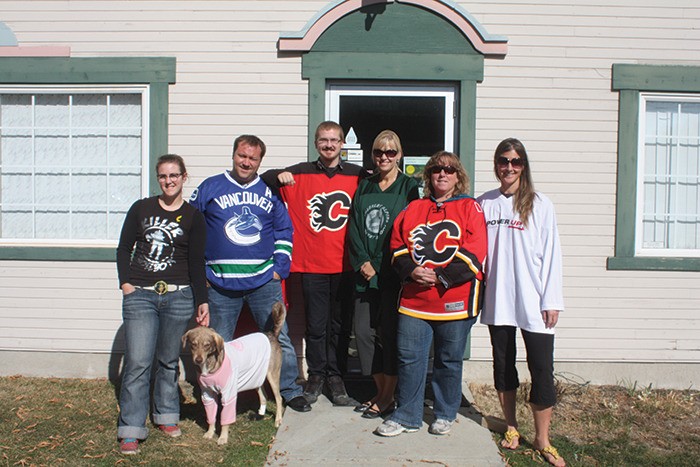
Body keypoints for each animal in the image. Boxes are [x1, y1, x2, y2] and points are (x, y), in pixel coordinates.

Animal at [183, 302, 288, 444]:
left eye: (207, 345)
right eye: (193, 344)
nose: (198, 359)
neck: (211, 365)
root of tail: (271, 334)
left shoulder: (228, 395)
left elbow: (225, 420)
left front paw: (223, 437)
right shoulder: (207, 394)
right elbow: (211, 417)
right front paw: (210, 433)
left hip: (272, 375)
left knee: (278, 398)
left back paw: (278, 420)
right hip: (256, 377)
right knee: (263, 395)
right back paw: (260, 414)